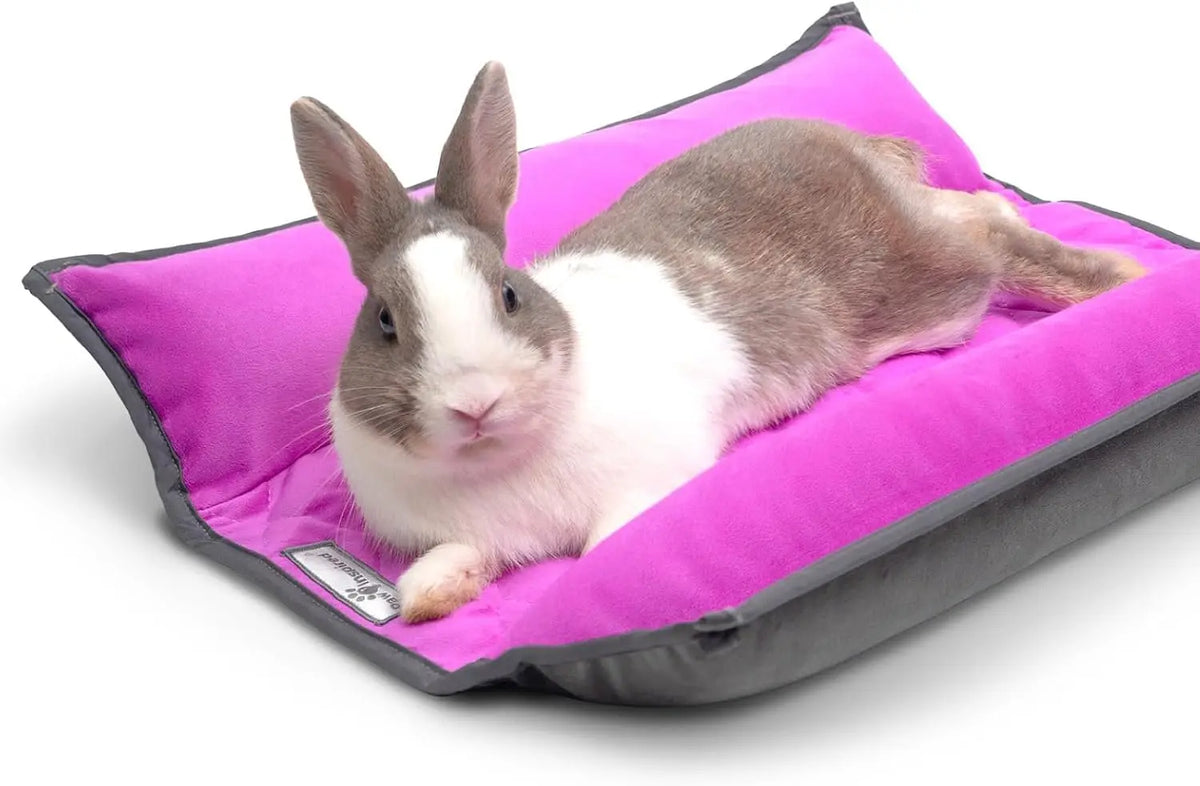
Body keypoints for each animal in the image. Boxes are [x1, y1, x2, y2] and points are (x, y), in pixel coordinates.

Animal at [290, 62, 1145, 623]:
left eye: (508, 293)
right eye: (385, 322)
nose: (475, 402)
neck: (495, 463)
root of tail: (857, 148)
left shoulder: (648, 485)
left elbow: (603, 553)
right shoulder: (465, 535)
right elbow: (438, 569)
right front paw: (431, 599)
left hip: (937, 294)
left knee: (991, 236)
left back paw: (1120, 277)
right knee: (979, 208)